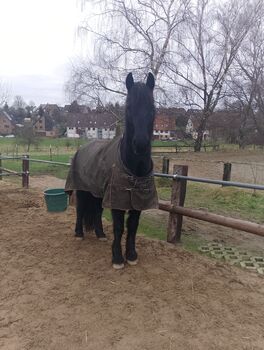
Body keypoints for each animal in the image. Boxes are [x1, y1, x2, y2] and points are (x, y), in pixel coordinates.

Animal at [65, 73, 158, 270]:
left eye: (152, 107)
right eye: (128, 107)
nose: (140, 144)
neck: (134, 168)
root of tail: (82, 148)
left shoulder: (137, 199)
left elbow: (133, 226)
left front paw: (131, 255)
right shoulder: (117, 199)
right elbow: (119, 227)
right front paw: (117, 258)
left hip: (98, 192)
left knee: (97, 212)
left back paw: (100, 234)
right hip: (83, 190)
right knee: (81, 210)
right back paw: (79, 234)